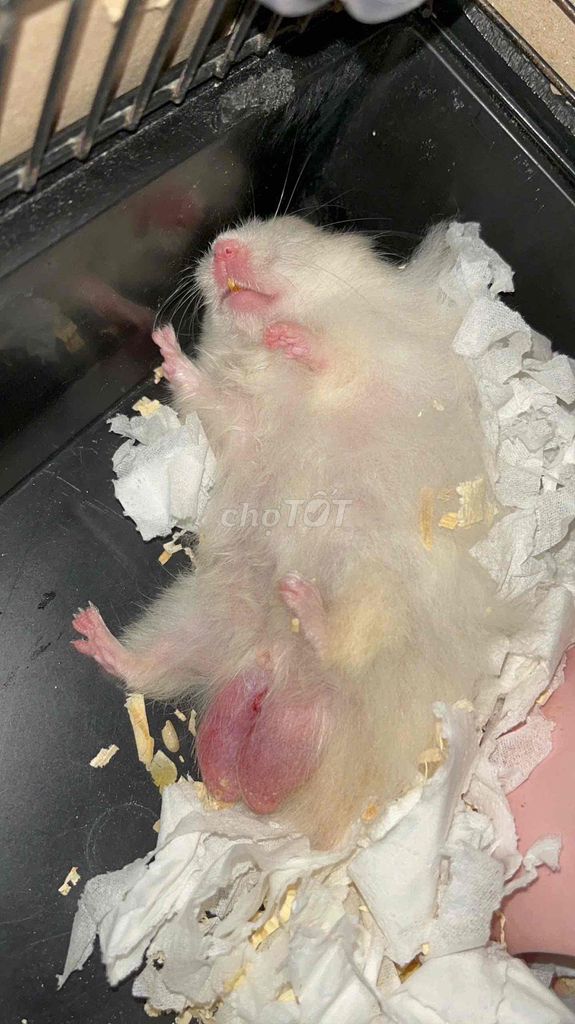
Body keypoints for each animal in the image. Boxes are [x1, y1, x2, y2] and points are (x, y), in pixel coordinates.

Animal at [73, 215, 509, 846]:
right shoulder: (241, 422)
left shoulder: (385, 359)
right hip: (197, 619)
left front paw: (291, 339)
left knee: (350, 643)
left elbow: (336, 358)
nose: (222, 248)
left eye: (291, 232)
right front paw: (166, 343)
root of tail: (286, 679)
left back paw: (305, 604)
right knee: (149, 669)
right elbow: (211, 395)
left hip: (380, 585)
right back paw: (89, 632)